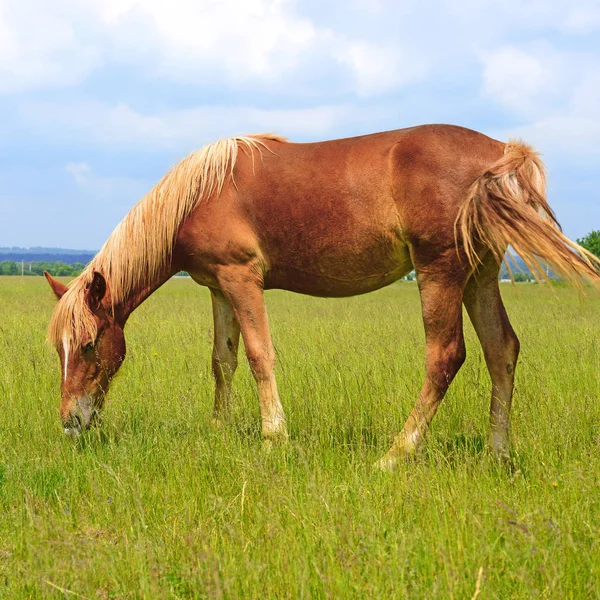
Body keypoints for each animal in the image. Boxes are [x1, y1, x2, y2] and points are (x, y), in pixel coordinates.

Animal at [43, 126, 600, 468]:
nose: (70, 423)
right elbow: (222, 361)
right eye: (60, 350)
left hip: (440, 272)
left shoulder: (242, 279)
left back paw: (395, 455)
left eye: (89, 345)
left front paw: (273, 439)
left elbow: (259, 355)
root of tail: (500, 153)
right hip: (480, 275)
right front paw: (220, 432)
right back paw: (496, 454)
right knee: (501, 350)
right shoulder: (218, 288)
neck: (199, 194)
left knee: (446, 357)